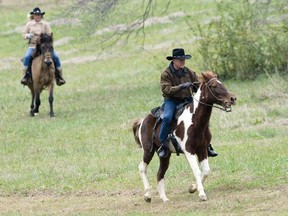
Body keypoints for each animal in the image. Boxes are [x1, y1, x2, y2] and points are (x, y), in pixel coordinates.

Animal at [133, 71, 236, 202]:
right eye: (213, 86)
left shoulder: (202, 150)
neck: (196, 121)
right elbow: (197, 171)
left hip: (165, 155)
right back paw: (147, 195)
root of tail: (143, 121)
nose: (232, 98)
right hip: (148, 151)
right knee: (142, 167)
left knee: (160, 174)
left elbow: (205, 171)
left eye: (221, 83)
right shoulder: (189, 150)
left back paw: (164, 198)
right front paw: (201, 194)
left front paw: (192, 188)